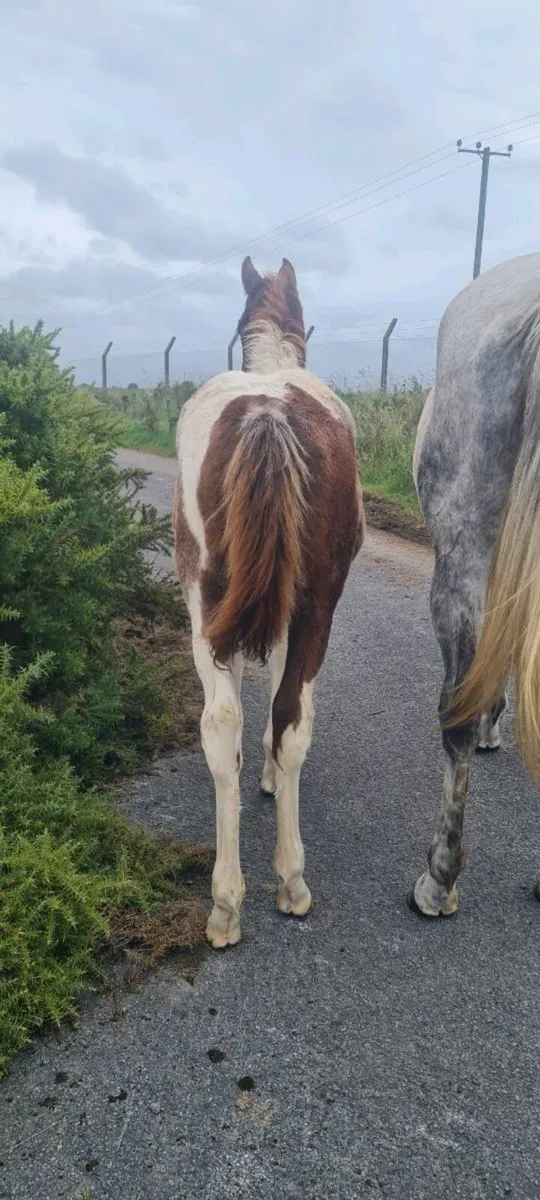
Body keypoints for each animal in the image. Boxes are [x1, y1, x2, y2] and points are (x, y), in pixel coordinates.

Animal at [173, 256, 364, 947]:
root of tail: (267, 411)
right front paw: (268, 780)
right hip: (313, 606)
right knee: (290, 720)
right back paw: (287, 883)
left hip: (205, 604)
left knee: (224, 722)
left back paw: (228, 903)